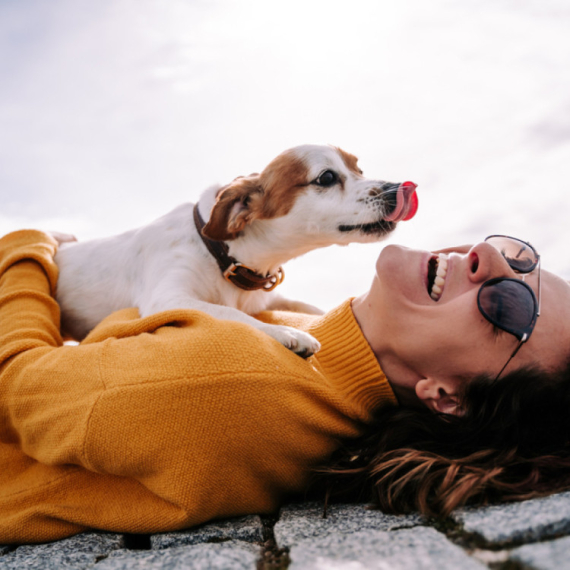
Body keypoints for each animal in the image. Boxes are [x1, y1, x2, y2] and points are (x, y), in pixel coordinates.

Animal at [54, 144, 418, 352]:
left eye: (359, 169)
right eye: (326, 178)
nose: (397, 188)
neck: (222, 255)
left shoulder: (270, 298)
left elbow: (310, 307)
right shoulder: (167, 299)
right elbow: (230, 314)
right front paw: (284, 332)